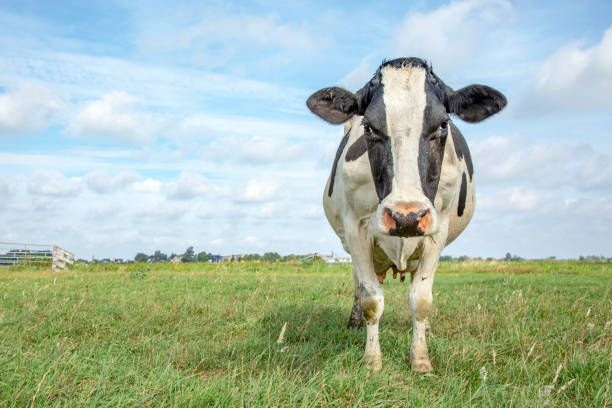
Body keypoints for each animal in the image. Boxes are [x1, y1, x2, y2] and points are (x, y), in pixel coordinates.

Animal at [306, 57, 506, 372]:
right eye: (369, 127)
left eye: (443, 123)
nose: (406, 217)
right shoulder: (355, 228)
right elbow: (371, 299)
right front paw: (372, 360)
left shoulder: (438, 229)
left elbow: (421, 299)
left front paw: (420, 359)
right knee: (358, 283)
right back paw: (354, 322)